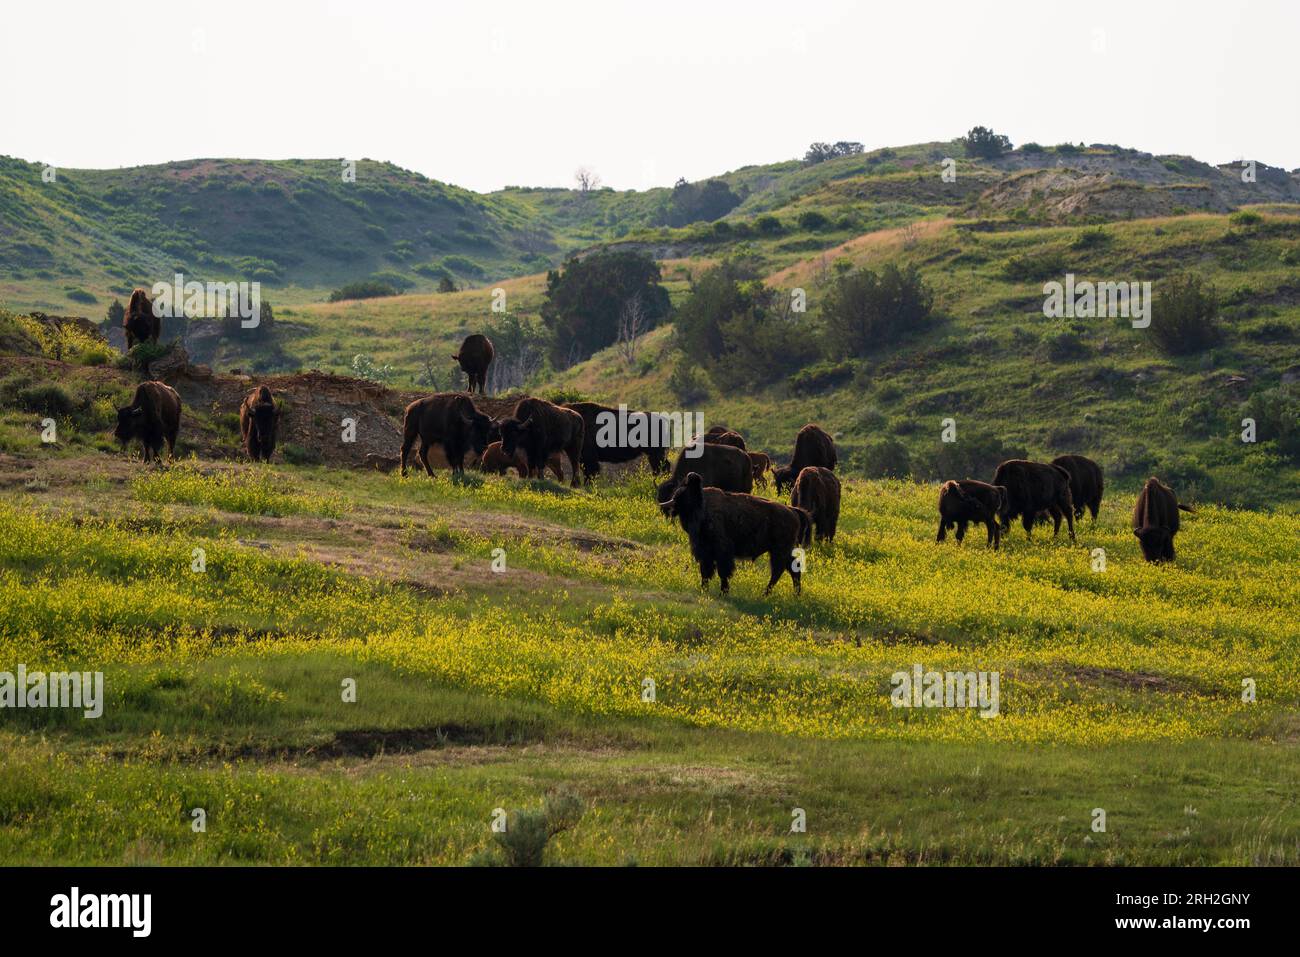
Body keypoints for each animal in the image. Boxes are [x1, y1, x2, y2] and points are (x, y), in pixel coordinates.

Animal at [665, 473, 806, 598]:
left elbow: (722, 572)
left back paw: (766, 594)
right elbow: (705, 572)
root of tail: (793, 511)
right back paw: (794, 594)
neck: (703, 506)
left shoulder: (721, 552)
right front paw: (704, 590)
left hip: (779, 551)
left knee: (778, 571)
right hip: (781, 551)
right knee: (792, 570)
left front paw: (723, 592)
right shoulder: (704, 552)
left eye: (686, 496)